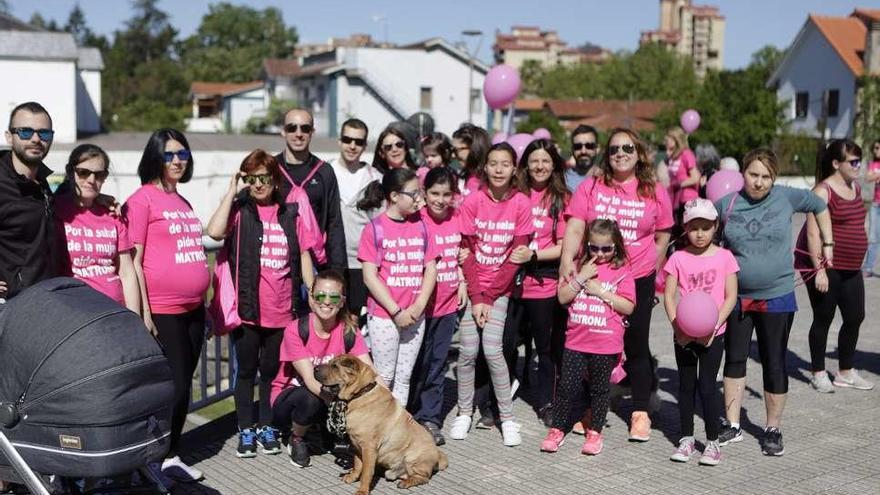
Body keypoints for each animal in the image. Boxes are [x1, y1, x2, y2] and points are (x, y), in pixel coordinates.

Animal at [314, 354, 446, 494]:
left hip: (413, 459)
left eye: (335, 366)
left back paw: (406, 483)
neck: (360, 393)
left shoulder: (369, 448)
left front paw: (362, 490)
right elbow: (357, 464)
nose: (315, 368)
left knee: (423, 477)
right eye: (329, 362)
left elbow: (366, 472)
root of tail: (438, 455)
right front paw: (352, 477)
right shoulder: (356, 446)